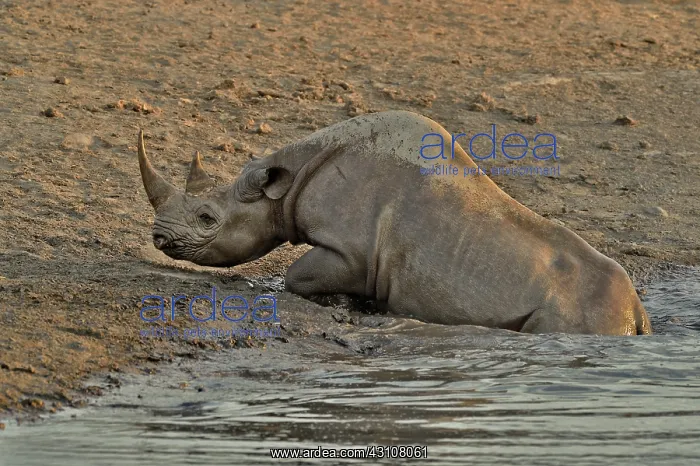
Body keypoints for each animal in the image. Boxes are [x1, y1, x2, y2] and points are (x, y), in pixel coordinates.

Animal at [137, 110, 652, 335]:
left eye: (207, 218)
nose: (159, 237)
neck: (284, 186)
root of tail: (638, 311)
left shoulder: (355, 254)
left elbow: (297, 274)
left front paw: (344, 303)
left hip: (575, 313)